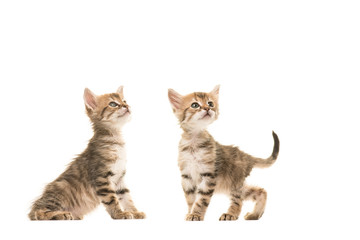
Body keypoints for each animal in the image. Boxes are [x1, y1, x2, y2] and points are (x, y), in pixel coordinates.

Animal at [28, 87, 145, 220]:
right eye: (113, 104)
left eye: (124, 101)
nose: (127, 106)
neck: (115, 141)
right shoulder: (102, 178)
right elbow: (112, 199)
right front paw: (119, 214)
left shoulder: (120, 179)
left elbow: (126, 198)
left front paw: (135, 212)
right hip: (60, 188)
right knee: (39, 213)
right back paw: (61, 214)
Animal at [167, 86, 280, 221]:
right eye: (195, 105)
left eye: (210, 103)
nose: (207, 108)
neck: (194, 142)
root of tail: (246, 156)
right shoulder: (187, 176)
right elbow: (190, 199)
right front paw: (190, 213)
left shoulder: (208, 175)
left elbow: (201, 200)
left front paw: (196, 214)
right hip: (231, 184)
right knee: (260, 191)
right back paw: (255, 215)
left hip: (234, 182)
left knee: (239, 200)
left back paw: (231, 214)